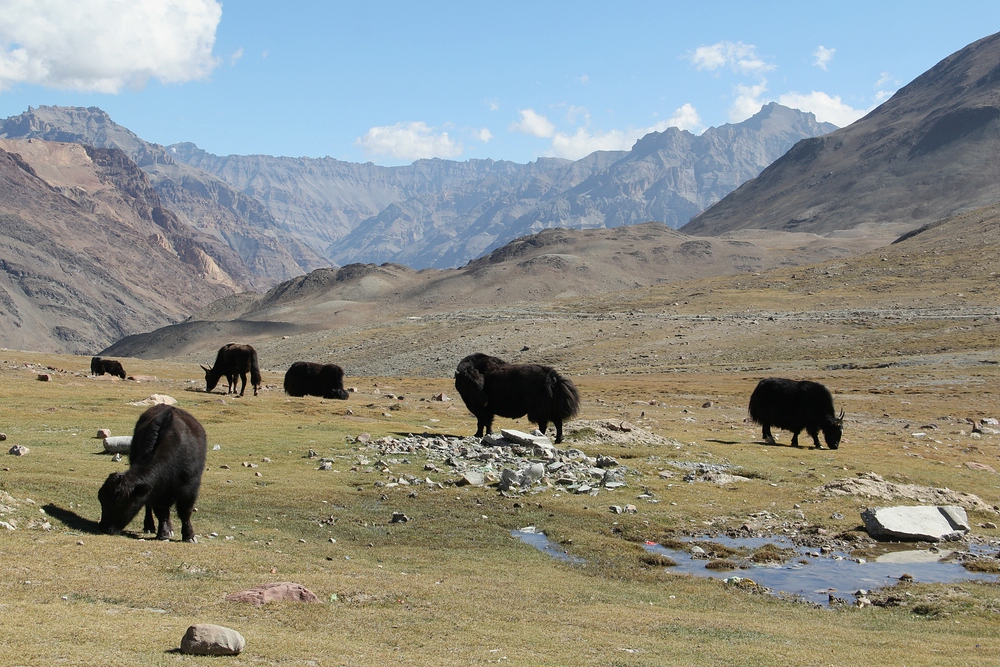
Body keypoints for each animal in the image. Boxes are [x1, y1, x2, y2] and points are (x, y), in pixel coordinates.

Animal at [98, 404, 207, 542]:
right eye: (101, 500)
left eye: (121, 502)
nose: (104, 527)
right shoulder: (157, 492)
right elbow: (161, 511)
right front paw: (163, 533)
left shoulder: (190, 489)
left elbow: (185, 512)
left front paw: (189, 536)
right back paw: (150, 526)